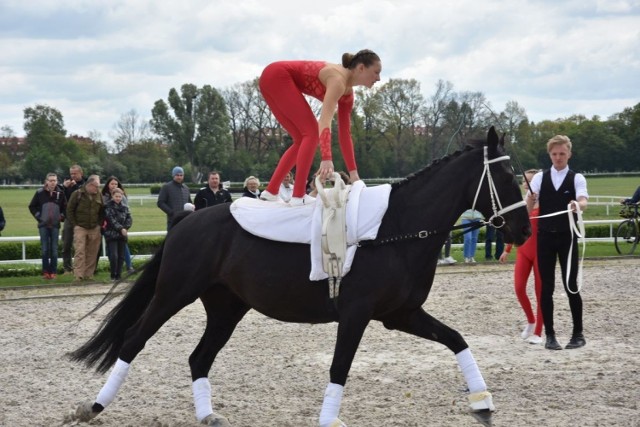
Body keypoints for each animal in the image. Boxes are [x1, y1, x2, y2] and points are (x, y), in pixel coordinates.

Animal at [69, 128, 528, 427]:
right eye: (507, 177)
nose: (524, 230)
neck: (394, 229)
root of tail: (186, 220)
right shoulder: (357, 315)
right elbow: (339, 369)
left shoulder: (401, 314)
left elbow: (457, 339)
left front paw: (482, 403)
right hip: (173, 295)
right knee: (133, 340)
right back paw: (93, 407)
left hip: (226, 309)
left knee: (199, 357)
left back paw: (207, 415)